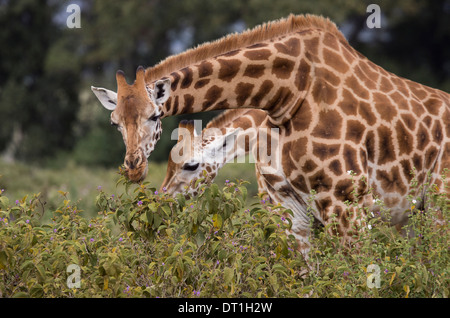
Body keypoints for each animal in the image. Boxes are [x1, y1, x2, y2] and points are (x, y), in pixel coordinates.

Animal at [92, 14, 450, 248]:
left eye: (154, 116)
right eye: (114, 123)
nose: (134, 169)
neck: (288, 92)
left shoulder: (349, 204)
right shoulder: (290, 209)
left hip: (437, 205)